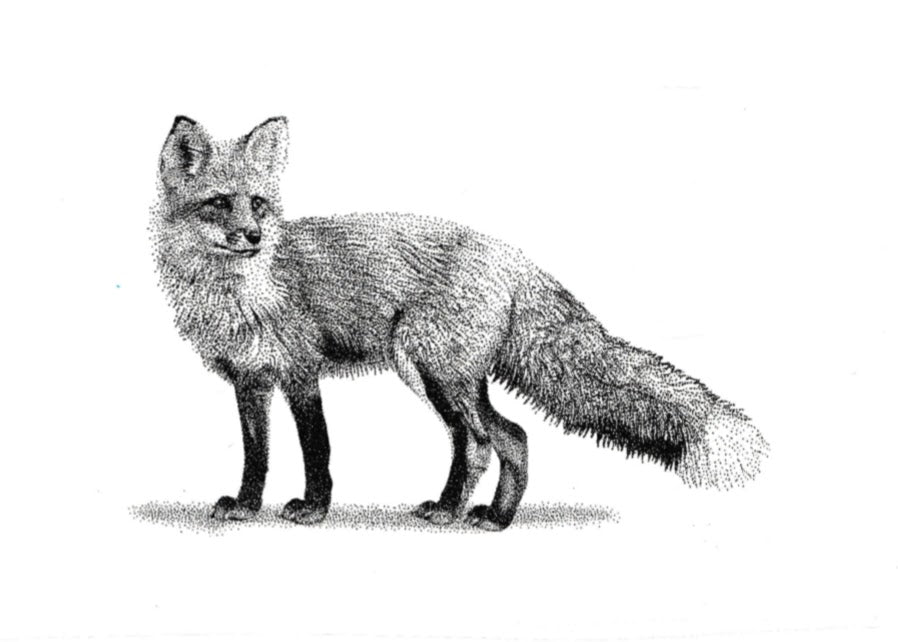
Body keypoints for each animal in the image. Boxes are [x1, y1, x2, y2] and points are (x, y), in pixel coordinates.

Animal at [152, 115, 768, 531]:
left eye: (257, 203)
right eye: (219, 203)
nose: (253, 237)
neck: (238, 292)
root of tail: (515, 259)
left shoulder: (301, 372)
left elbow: (316, 448)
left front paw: (314, 509)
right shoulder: (250, 380)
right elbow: (256, 453)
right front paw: (246, 506)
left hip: (437, 374)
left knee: (509, 436)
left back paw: (495, 519)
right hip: (434, 378)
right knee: (476, 446)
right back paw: (452, 509)